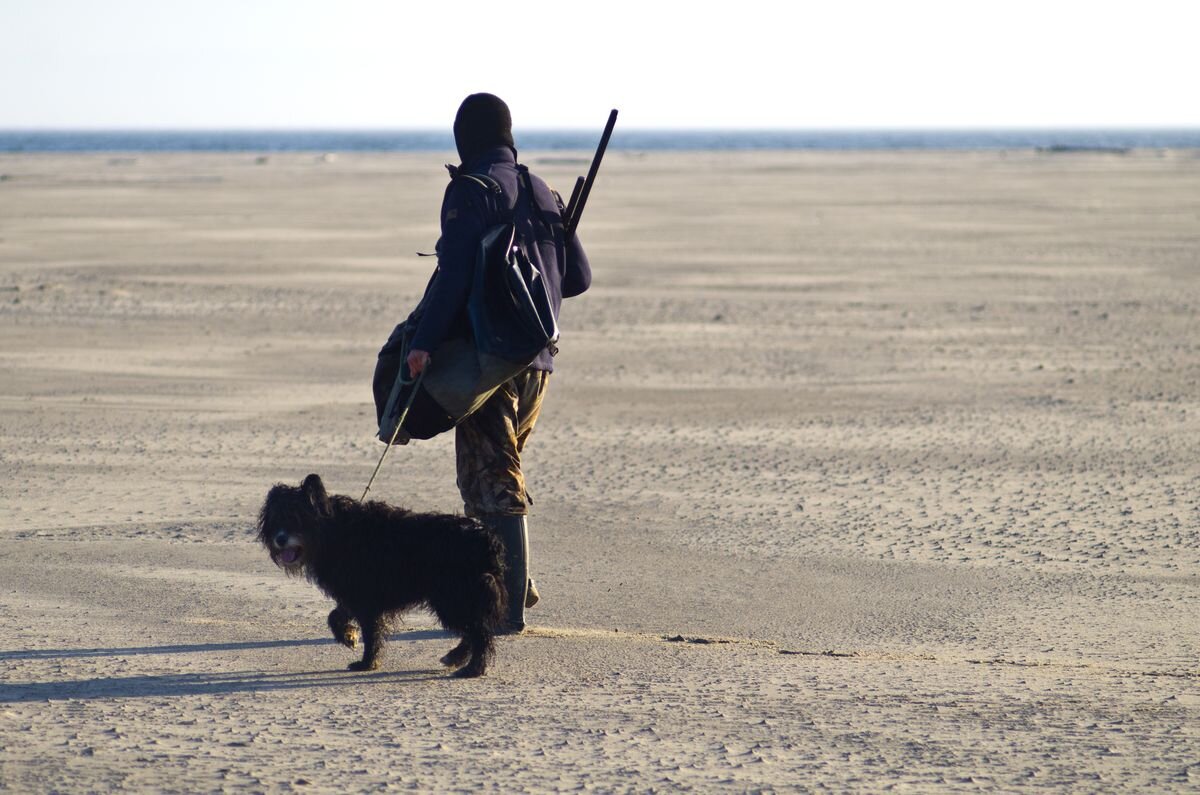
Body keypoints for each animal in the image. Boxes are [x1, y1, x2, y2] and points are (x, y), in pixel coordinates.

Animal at [258, 473, 506, 677]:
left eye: (297, 517)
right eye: (275, 519)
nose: (280, 539)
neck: (332, 532)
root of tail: (486, 539)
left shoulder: (365, 598)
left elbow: (371, 632)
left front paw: (367, 663)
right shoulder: (353, 592)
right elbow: (335, 616)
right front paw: (349, 636)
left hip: (453, 597)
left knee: (479, 632)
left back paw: (473, 668)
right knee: (473, 630)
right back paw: (456, 656)